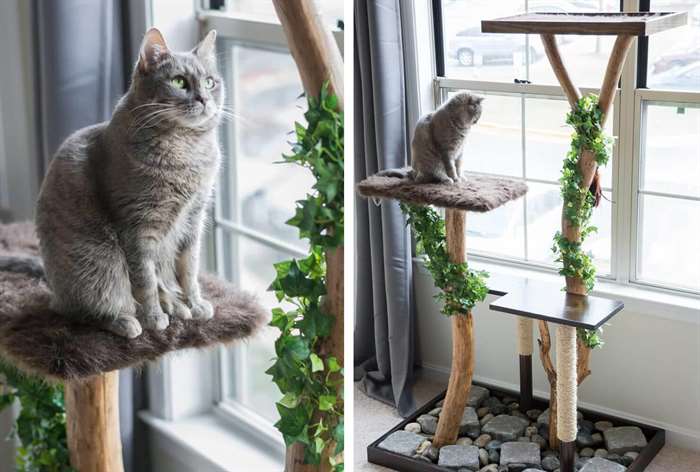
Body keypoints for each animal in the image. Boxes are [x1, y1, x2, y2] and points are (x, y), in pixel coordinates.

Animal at [33, 27, 221, 338]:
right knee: (82, 309)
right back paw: (127, 321)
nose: (204, 99)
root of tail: (54, 291)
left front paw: (194, 304)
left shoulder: (193, 219)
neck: (186, 151)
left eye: (210, 82)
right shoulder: (137, 227)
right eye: (179, 81)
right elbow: (145, 280)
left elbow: (188, 270)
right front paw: (154, 317)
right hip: (97, 266)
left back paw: (176, 305)